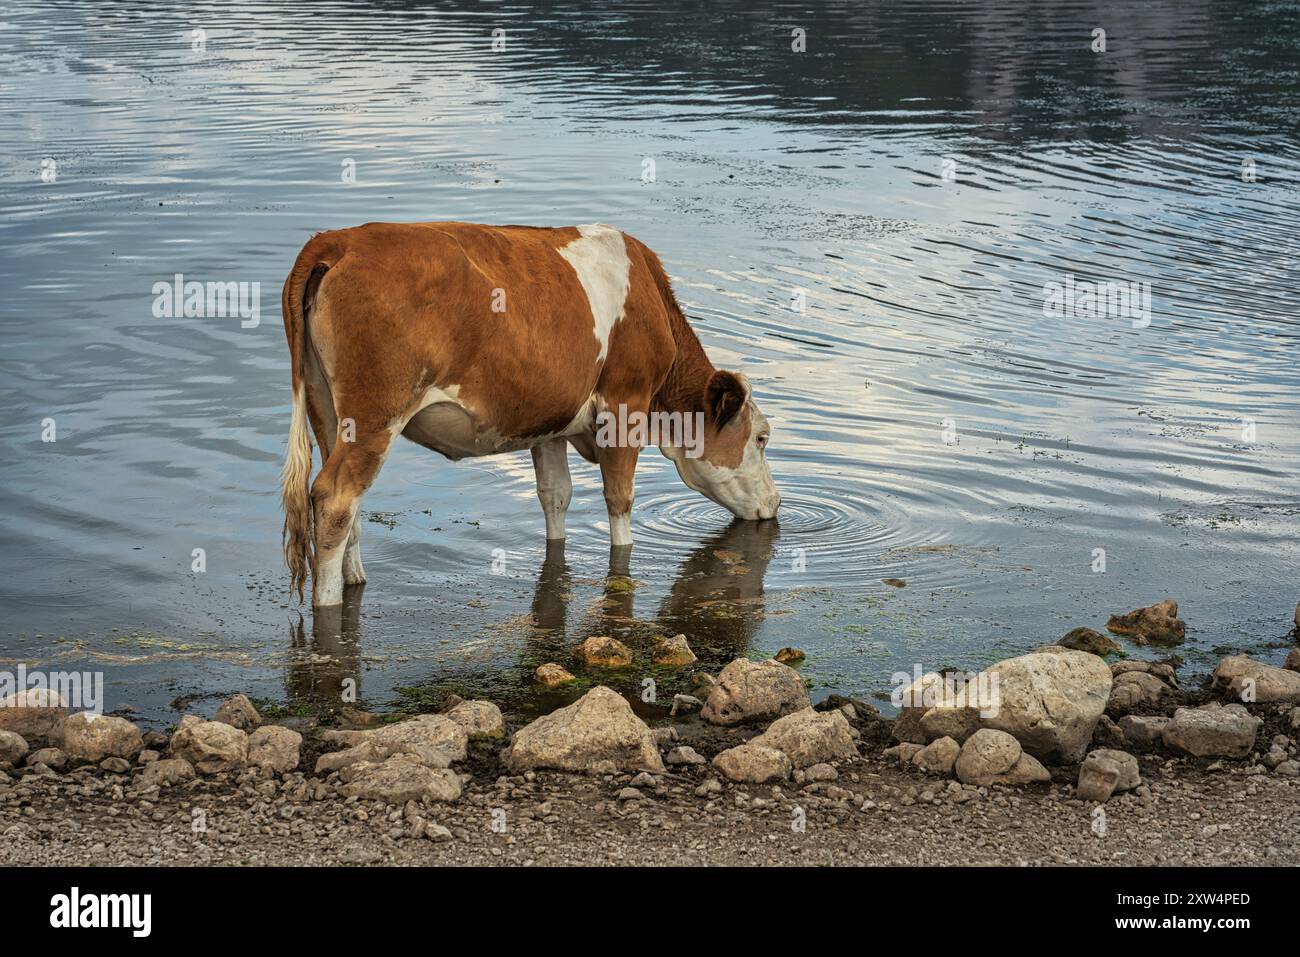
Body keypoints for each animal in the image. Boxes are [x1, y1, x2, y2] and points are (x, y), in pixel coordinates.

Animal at [279, 222, 774, 605]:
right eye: (762, 436)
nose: (776, 504)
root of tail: (338, 240)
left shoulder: (550, 425)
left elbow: (556, 495)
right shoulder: (624, 405)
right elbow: (619, 500)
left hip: (327, 411)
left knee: (342, 500)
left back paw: (355, 579)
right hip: (375, 416)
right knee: (336, 498)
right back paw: (328, 602)